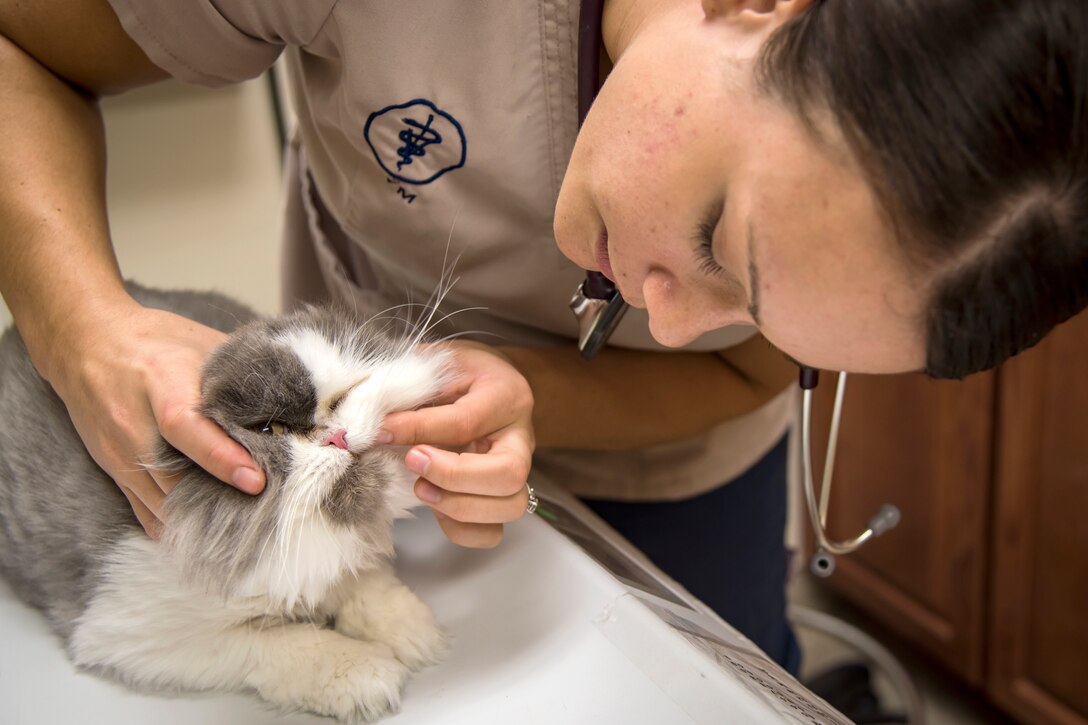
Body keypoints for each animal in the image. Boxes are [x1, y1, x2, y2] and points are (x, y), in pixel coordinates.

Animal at [0, 283, 454, 718]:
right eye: (271, 430)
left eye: (343, 396)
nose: (336, 437)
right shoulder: (130, 632)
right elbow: (281, 644)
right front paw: (367, 673)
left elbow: (365, 584)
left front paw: (416, 633)